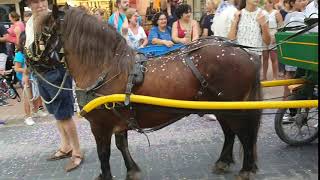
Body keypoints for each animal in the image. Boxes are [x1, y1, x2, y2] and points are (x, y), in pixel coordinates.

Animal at [34, 7, 262, 180]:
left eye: (43, 32)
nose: (34, 64)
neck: (106, 68)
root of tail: (245, 53)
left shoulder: (100, 125)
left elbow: (104, 153)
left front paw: (105, 175)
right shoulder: (118, 119)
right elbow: (122, 145)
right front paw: (132, 170)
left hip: (233, 108)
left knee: (244, 134)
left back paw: (245, 170)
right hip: (220, 107)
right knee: (230, 133)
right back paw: (223, 162)